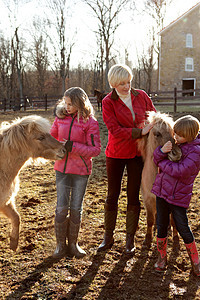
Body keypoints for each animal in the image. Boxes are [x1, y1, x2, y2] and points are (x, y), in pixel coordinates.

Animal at [138, 111, 182, 247]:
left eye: (173, 132)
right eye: (157, 134)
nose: (177, 154)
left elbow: (173, 221)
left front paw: (176, 239)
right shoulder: (148, 199)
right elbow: (150, 219)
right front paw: (147, 239)